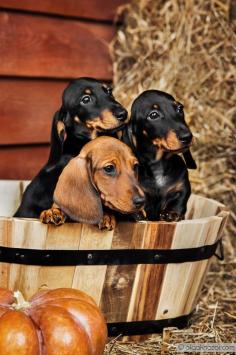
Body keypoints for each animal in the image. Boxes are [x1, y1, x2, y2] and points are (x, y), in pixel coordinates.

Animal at [122, 89, 196, 222]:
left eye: (179, 108)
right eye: (153, 115)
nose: (187, 137)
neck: (158, 166)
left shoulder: (181, 188)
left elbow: (179, 201)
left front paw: (172, 213)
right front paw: (135, 213)